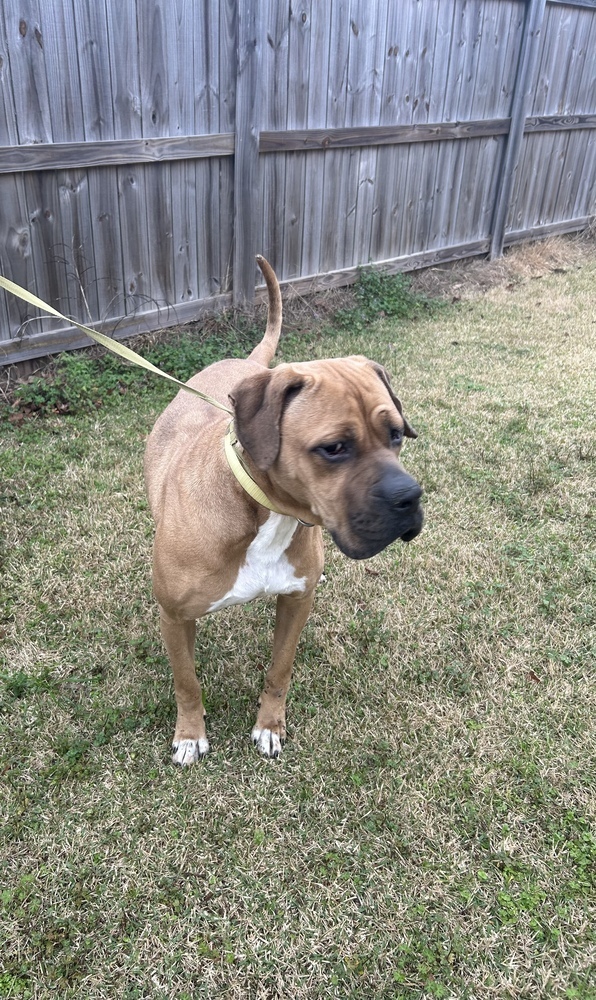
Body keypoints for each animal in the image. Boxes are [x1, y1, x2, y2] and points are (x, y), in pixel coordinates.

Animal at [145, 258, 424, 764]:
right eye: (333, 448)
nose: (409, 497)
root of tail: (250, 364)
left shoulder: (296, 602)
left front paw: (270, 724)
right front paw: (191, 733)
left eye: (396, 434)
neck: (265, 512)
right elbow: (187, 682)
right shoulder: (174, 618)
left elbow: (280, 668)